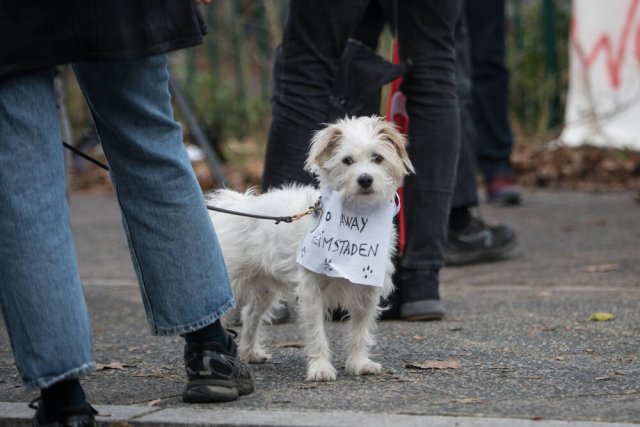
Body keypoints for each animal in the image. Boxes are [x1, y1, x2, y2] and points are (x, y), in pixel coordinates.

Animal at [208, 116, 412, 382]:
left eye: (377, 158)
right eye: (347, 160)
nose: (365, 179)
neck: (356, 216)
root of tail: (237, 205)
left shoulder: (366, 291)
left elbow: (359, 332)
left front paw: (359, 363)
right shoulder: (311, 291)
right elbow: (317, 334)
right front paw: (320, 368)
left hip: (265, 289)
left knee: (250, 314)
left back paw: (250, 353)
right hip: (231, 284)